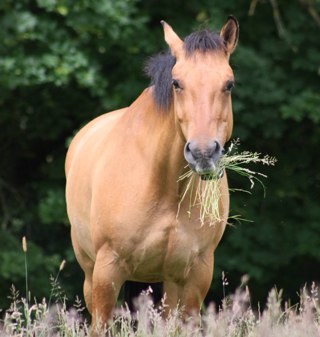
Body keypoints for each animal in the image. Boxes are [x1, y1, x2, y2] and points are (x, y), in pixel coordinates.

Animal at [65, 16, 239, 326]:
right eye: (177, 83)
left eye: (228, 84)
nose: (203, 152)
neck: (163, 184)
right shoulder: (107, 270)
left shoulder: (196, 273)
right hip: (90, 273)